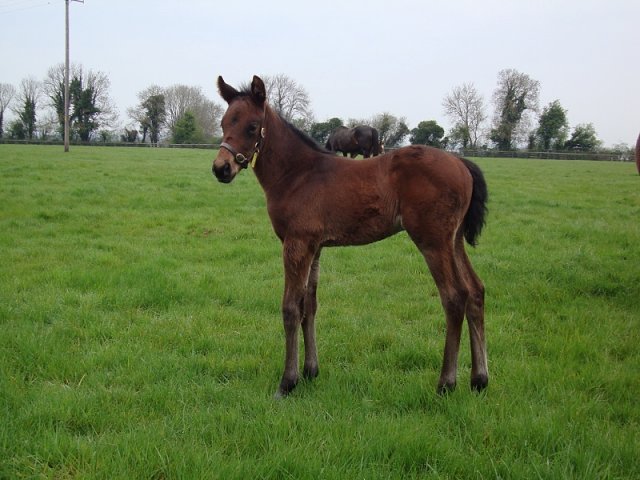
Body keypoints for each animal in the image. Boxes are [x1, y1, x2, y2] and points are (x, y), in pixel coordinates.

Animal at [212, 75, 488, 398]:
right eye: (224, 123)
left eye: (252, 126)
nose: (221, 168)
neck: (297, 174)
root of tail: (461, 163)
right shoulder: (315, 246)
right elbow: (310, 305)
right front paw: (310, 371)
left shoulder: (296, 243)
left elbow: (291, 308)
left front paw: (288, 381)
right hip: (453, 240)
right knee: (475, 291)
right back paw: (479, 379)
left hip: (432, 240)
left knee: (455, 297)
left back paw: (446, 382)